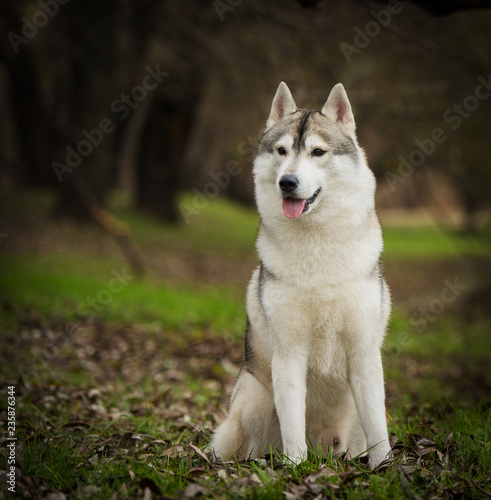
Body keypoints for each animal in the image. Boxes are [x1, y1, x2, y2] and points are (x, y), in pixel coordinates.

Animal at [210, 82, 392, 468]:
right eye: (281, 151)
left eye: (317, 152)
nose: (287, 182)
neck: (317, 246)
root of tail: (325, 447)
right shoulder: (289, 355)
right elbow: (293, 426)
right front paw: (295, 468)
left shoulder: (364, 355)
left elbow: (378, 427)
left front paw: (385, 467)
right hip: (252, 399)